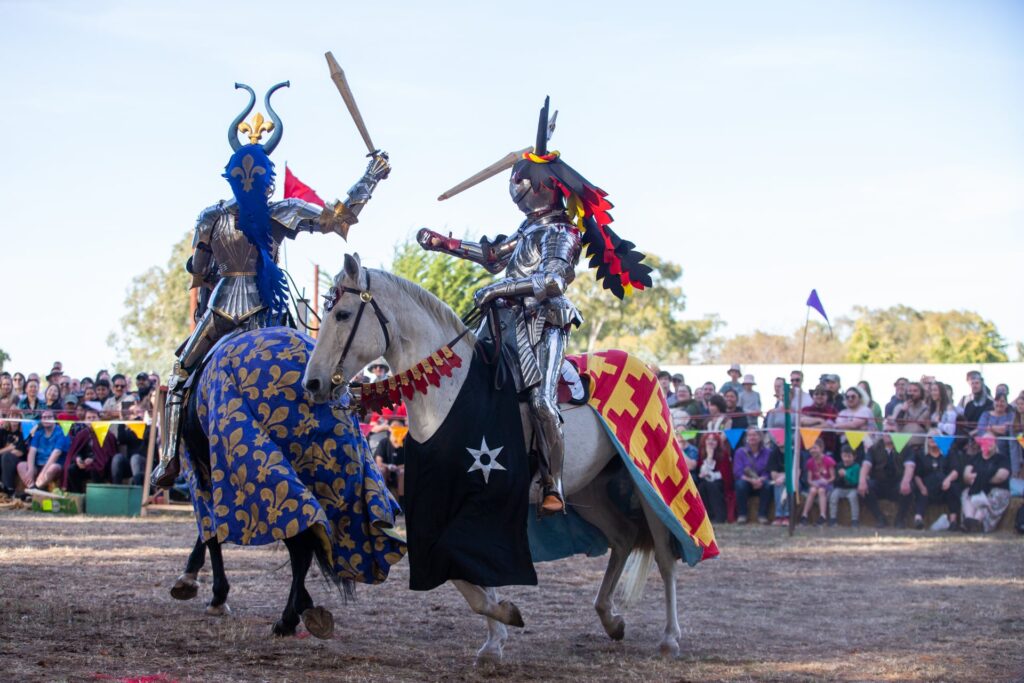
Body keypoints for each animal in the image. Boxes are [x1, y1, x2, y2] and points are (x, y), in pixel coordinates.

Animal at [174, 325, 406, 637]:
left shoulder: (201, 469)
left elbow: (210, 530)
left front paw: (210, 591)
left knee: (300, 542)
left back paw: (289, 618)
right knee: (310, 538)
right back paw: (302, 610)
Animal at [303, 254, 694, 664]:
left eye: (343, 314)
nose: (312, 384)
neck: (449, 393)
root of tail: (645, 369)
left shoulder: (487, 501)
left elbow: (465, 561)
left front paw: (505, 618)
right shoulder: (440, 503)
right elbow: (462, 568)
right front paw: (495, 638)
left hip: (649, 480)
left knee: (665, 554)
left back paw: (669, 637)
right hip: (591, 488)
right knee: (621, 538)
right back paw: (611, 619)